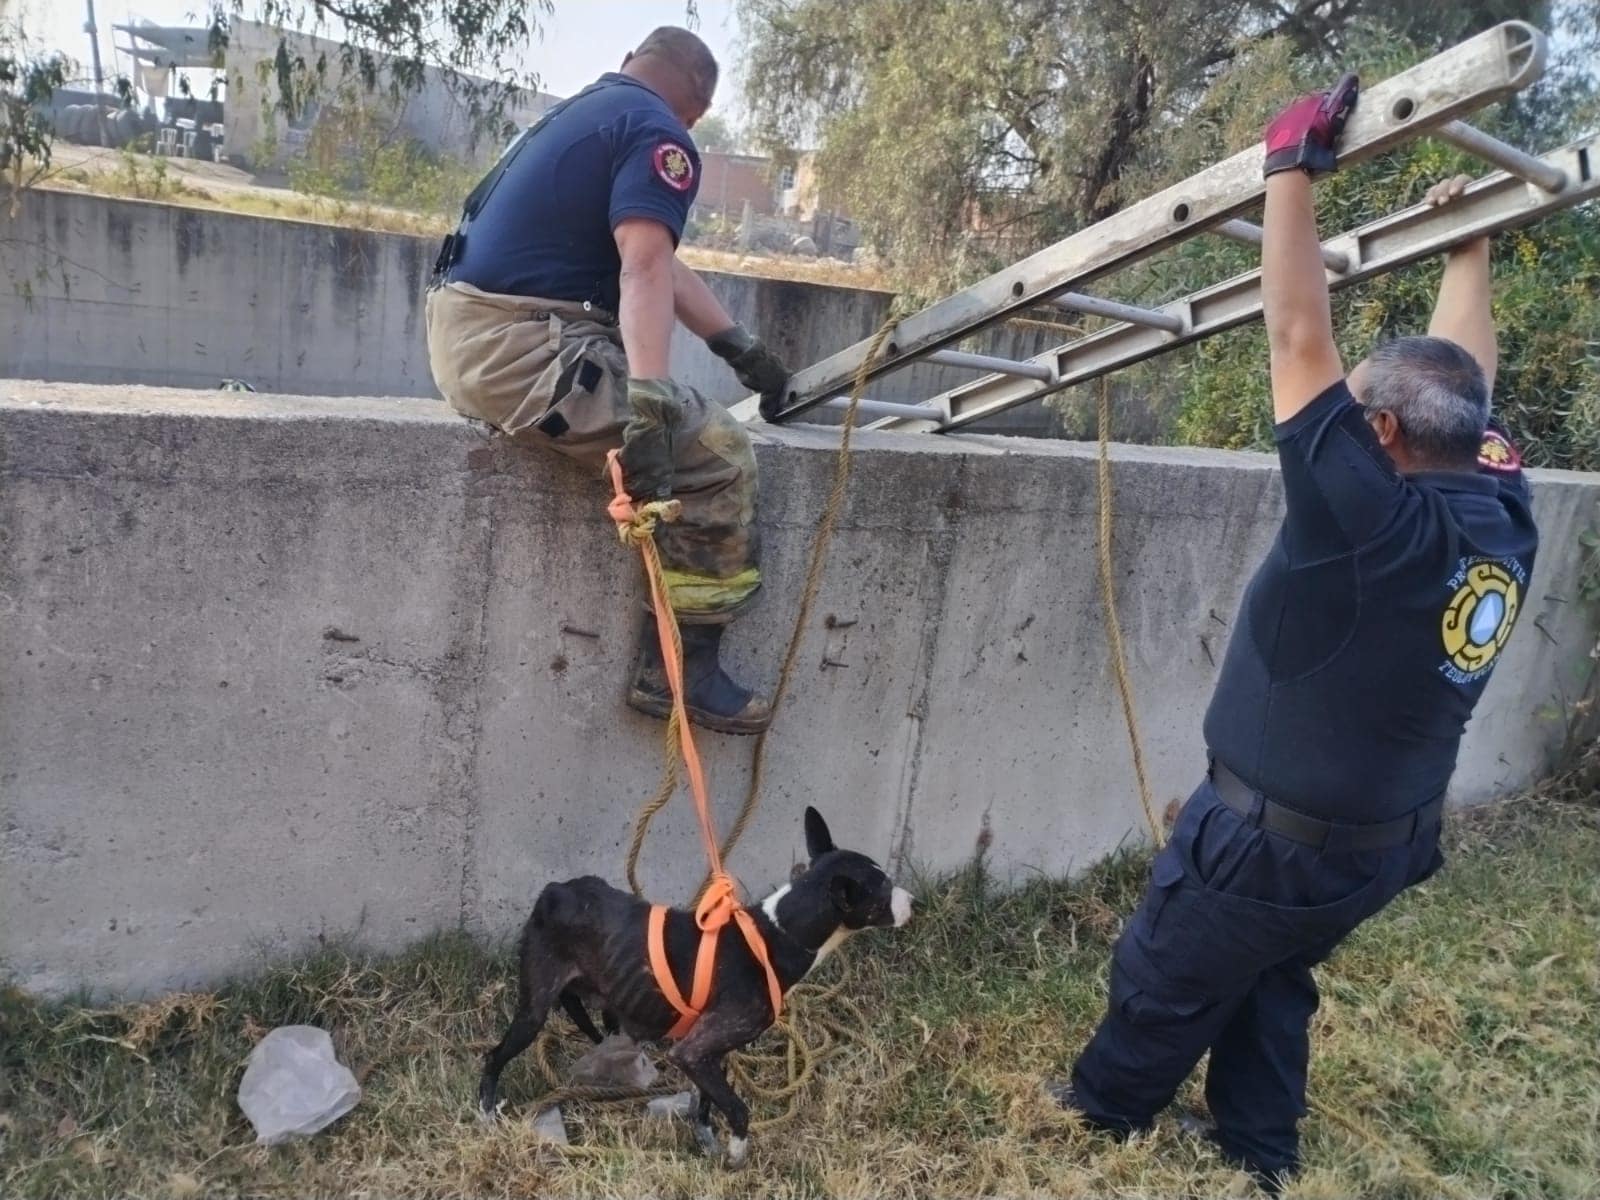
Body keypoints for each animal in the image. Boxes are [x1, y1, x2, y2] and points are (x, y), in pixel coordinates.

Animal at [473, 809, 915, 1164]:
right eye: (882, 893)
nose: (914, 901)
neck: (776, 933)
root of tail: (554, 890)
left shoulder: (710, 1053)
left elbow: (707, 1103)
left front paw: (707, 1141)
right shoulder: (693, 1051)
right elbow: (738, 1109)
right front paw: (737, 1157)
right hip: (534, 1010)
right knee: (494, 1056)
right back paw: (487, 1110)